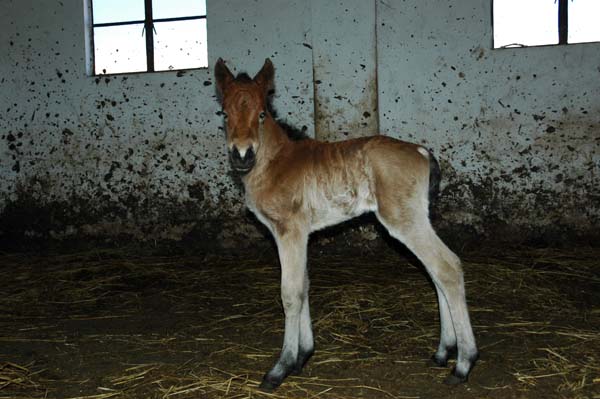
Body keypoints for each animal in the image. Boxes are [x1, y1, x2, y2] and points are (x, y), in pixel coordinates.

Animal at [214, 57, 478, 392]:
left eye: (262, 114)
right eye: (224, 113)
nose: (242, 155)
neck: (275, 162)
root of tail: (422, 151)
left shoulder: (290, 231)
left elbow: (291, 293)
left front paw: (280, 368)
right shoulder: (296, 235)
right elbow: (304, 284)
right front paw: (303, 356)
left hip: (404, 220)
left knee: (447, 267)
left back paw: (464, 363)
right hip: (418, 219)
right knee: (435, 273)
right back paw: (444, 351)